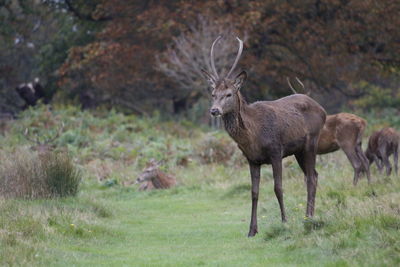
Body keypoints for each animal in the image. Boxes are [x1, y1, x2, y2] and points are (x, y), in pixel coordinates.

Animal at [202, 36, 326, 238]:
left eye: (229, 94)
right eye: (213, 94)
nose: (214, 110)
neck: (253, 137)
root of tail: (322, 110)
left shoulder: (276, 151)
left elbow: (278, 188)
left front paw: (284, 222)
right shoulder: (252, 159)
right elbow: (254, 192)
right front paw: (252, 230)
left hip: (312, 142)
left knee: (311, 177)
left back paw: (308, 217)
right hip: (298, 151)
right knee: (312, 174)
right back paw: (309, 216)